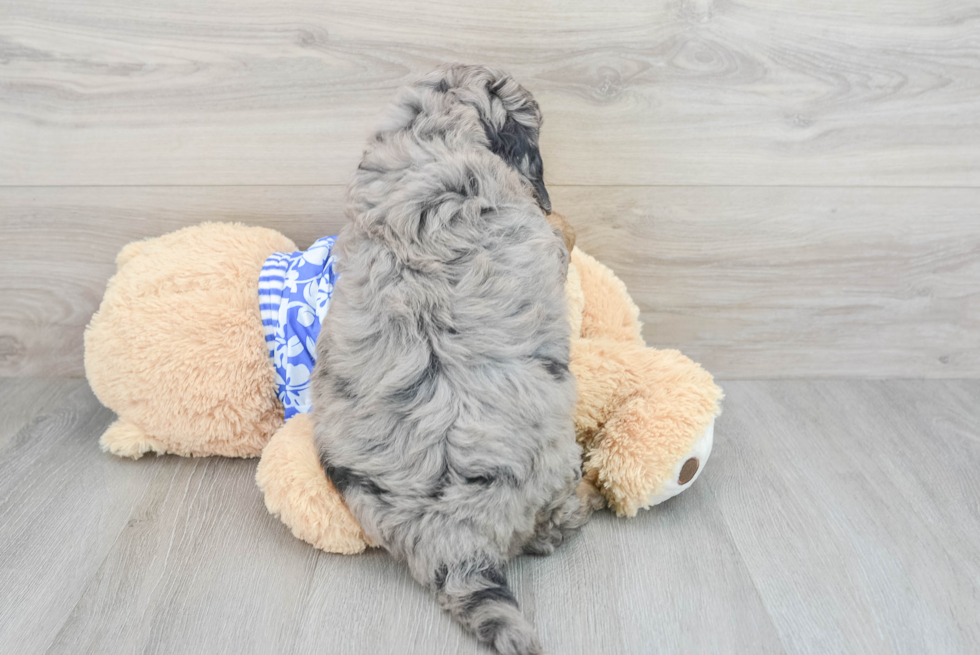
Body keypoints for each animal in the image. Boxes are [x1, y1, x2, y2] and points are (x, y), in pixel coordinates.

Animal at [314, 65, 596, 655]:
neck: (427, 138)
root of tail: (450, 538)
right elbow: (558, 234)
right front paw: (564, 220)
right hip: (554, 464)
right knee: (549, 528)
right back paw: (587, 497)